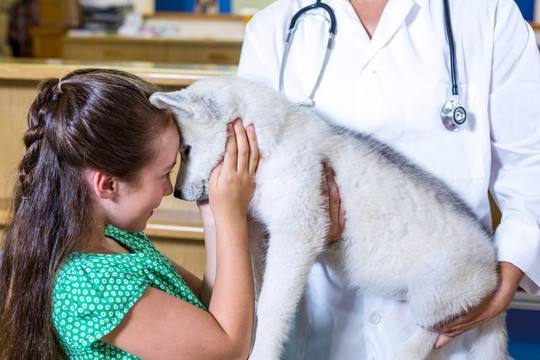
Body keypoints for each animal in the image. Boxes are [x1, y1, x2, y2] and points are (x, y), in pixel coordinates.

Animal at [149, 76, 510, 360]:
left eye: (186, 150)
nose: (177, 195)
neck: (272, 145)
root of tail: (493, 265)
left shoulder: (298, 233)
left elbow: (272, 307)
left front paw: (262, 350)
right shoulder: (256, 230)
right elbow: (259, 288)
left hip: (432, 290)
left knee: (432, 332)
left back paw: (404, 353)